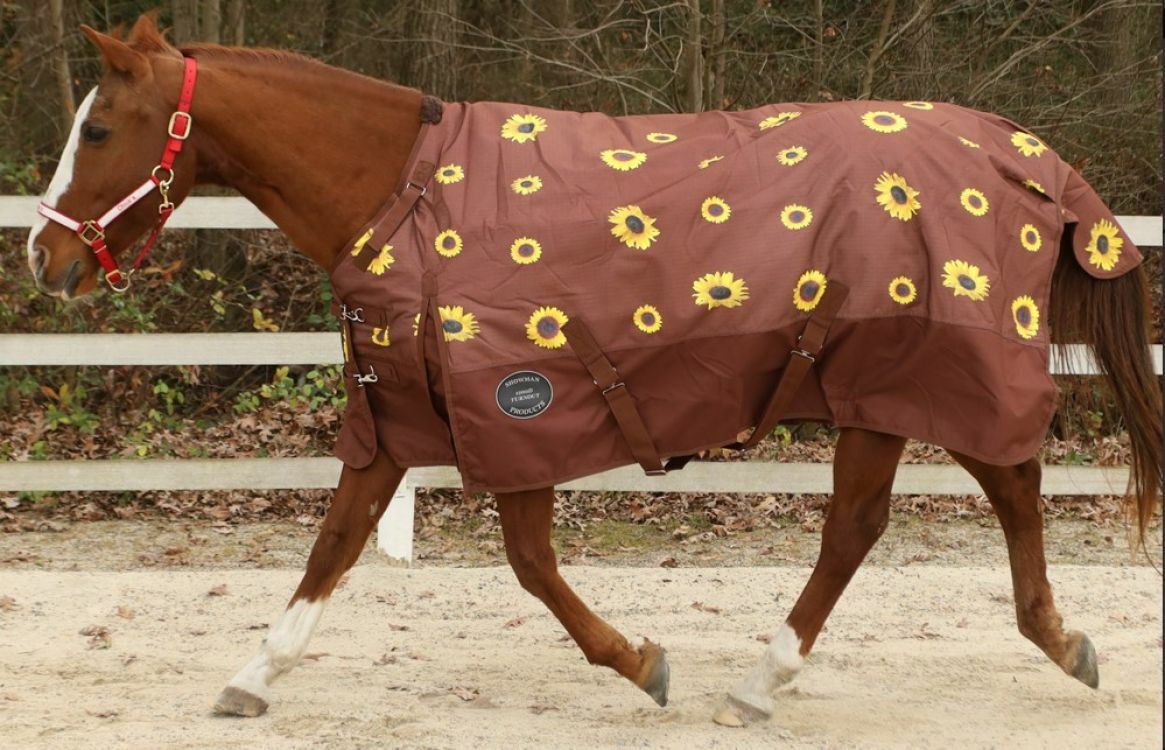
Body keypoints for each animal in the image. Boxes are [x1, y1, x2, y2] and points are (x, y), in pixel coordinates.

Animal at [25, 16, 1160, 727]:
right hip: (889, 388)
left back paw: (766, 682)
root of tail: (1020, 155)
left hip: (892, 377)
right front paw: (253, 677)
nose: (42, 258)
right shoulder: (402, 417)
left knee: (892, 517)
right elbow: (338, 543)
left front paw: (642, 664)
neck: (402, 194)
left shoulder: (513, 408)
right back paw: (1048, 645)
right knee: (973, 497)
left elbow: (526, 563)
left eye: (97, 125)